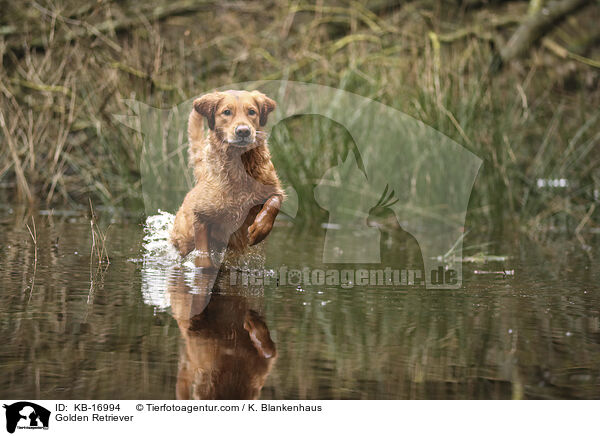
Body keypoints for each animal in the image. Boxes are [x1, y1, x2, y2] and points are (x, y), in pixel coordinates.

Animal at [170, 89, 284, 266]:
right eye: (227, 112)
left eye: (252, 112)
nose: (243, 131)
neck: (239, 166)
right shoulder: (201, 215)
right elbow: (203, 253)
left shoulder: (273, 188)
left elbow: (273, 202)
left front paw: (259, 230)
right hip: (184, 238)